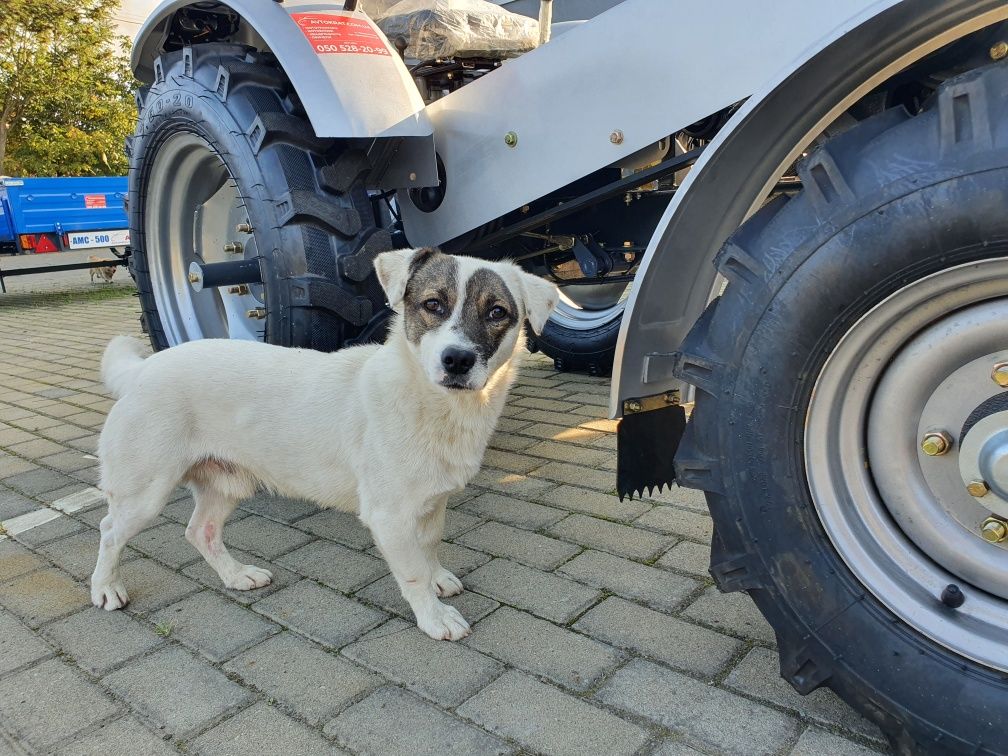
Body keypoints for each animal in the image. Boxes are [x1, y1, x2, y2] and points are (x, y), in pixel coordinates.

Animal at [92, 248, 560, 641]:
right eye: (432, 305)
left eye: (497, 312)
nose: (457, 360)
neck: (436, 407)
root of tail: (145, 369)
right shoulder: (389, 517)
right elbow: (412, 573)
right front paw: (433, 615)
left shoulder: (432, 502)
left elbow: (429, 547)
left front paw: (438, 577)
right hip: (144, 493)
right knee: (110, 531)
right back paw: (106, 588)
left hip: (227, 483)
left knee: (199, 531)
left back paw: (236, 575)